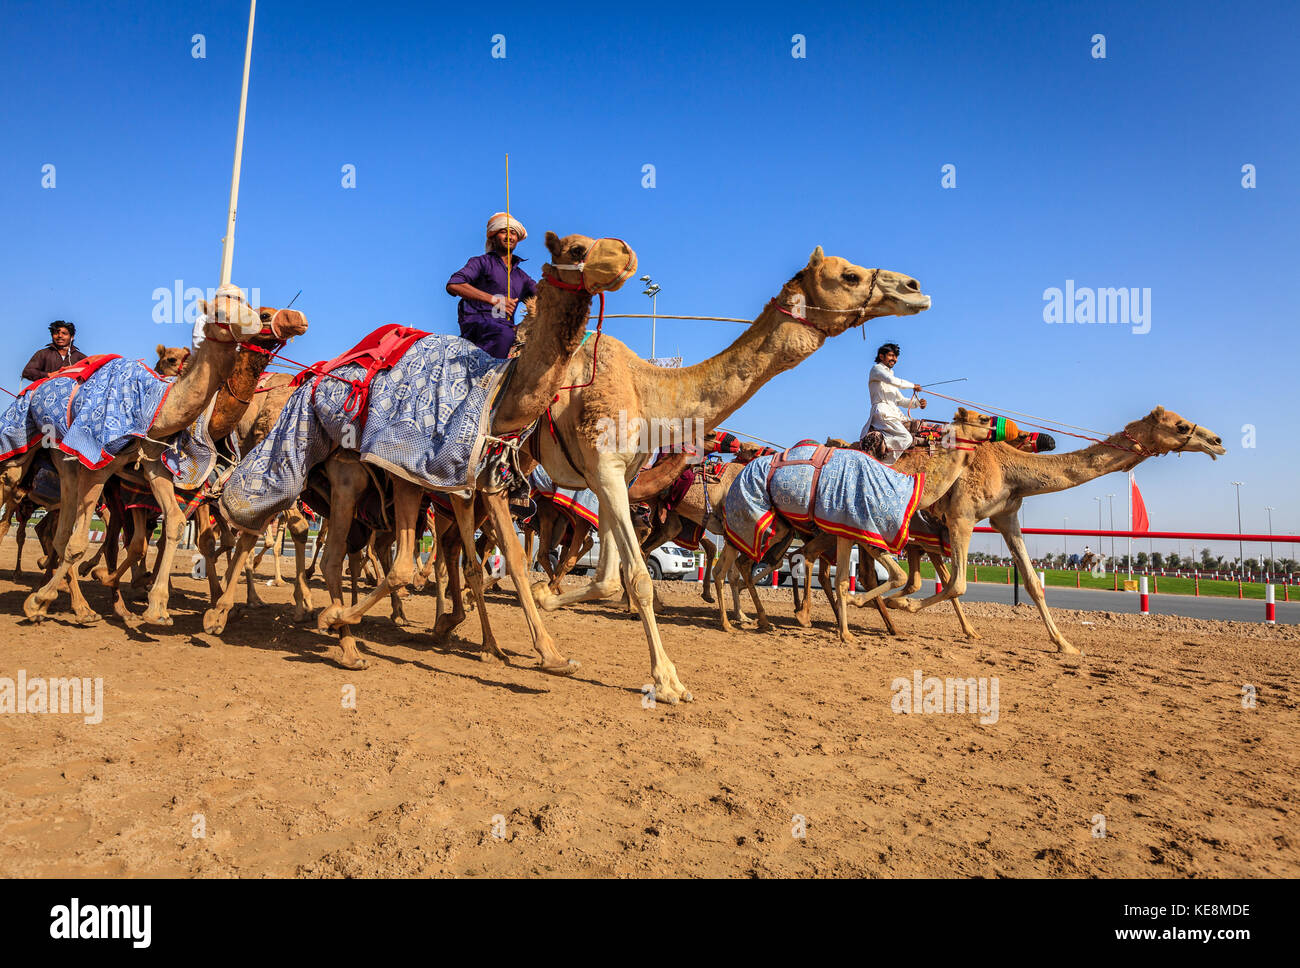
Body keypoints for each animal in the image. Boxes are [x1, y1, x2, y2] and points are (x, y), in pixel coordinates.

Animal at [208, 232, 639, 670]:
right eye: (576, 249)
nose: (626, 254)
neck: (497, 398)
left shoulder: (477, 488)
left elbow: (503, 561)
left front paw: (541, 653)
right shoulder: (407, 471)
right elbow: (407, 566)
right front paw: (347, 617)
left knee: (318, 542)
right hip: (339, 471)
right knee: (300, 538)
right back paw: (296, 626)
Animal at [533, 246, 930, 701]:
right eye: (849, 276)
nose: (915, 287)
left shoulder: (624, 485)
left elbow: (623, 573)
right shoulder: (612, 475)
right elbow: (649, 572)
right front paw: (674, 675)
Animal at [889, 402, 1222, 652]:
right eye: (1180, 426)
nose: (1216, 441)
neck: (1009, 471)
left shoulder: (1006, 517)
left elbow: (1033, 584)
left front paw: (1065, 644)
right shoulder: (962, 517)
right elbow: (958, 584)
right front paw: (900, 604)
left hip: (923, 539)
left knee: (918, 574)